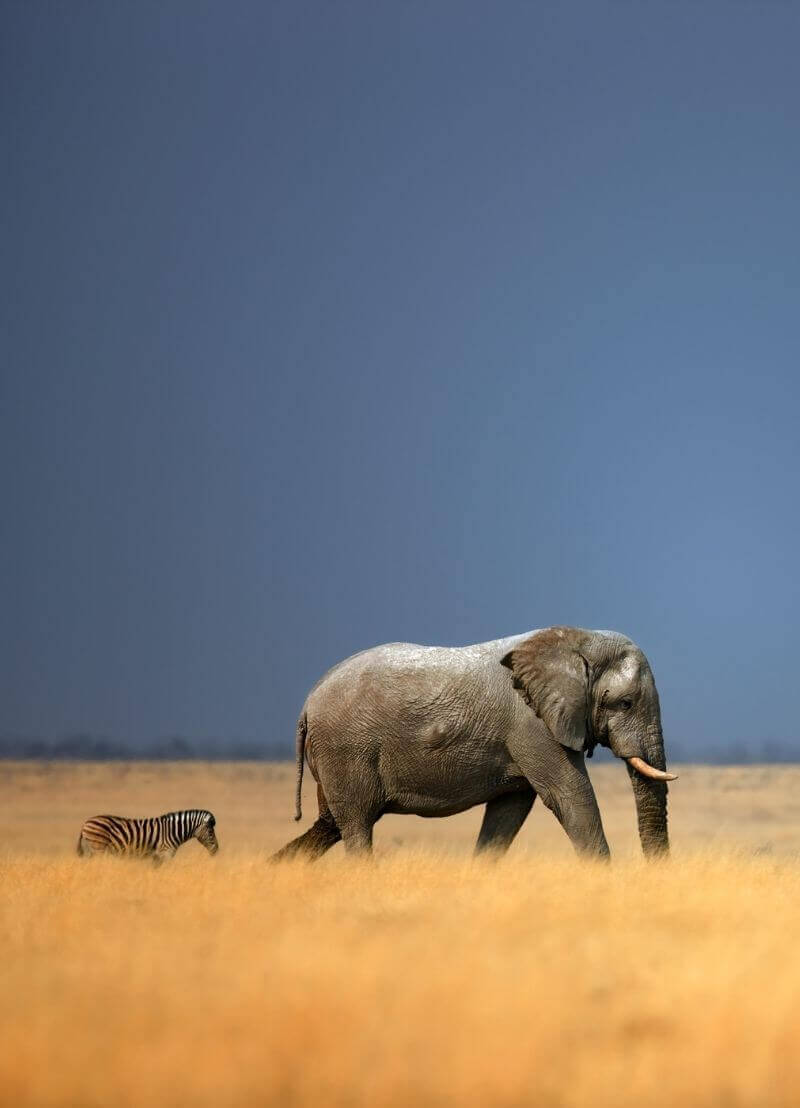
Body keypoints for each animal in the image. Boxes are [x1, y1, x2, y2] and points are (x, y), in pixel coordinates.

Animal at [77, 809, 219, 863]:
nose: (216, 850)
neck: (173, 831)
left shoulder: (157, 857)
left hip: (93, 850)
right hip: (98, 848)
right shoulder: (165, 853)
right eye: (211, 833)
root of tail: (85, 822)